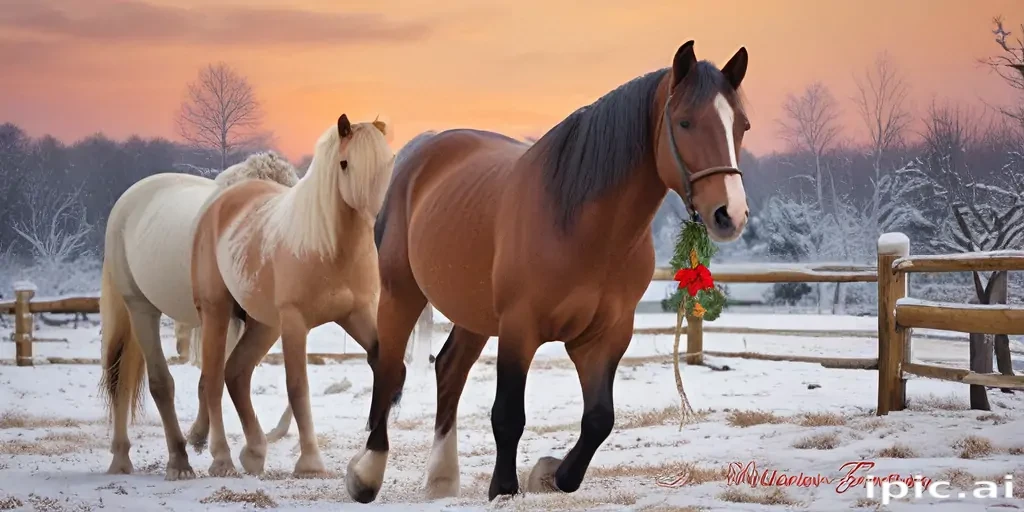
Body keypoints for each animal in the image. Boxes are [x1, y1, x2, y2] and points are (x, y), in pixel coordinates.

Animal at [99, 151, 300, 481]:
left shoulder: (252, 322)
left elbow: (218, 376)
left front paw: (203, 437)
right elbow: (215, 377)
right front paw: (220, 455)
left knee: (127, 378)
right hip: (140, 308)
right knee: (149, 382)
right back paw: (171, 462)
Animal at [189, 114, 395, 478]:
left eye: (386, 164)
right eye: (344, 163)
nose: (374, 217)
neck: (331, 247)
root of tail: (219, 205)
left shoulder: (357, 314)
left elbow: (382, 363)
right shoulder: (296, 322)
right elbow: (298, 387)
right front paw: (311, 463)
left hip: (264, 325)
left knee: (236, 374)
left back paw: (254, 453)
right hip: (217, 311)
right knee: (212, 380)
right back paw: (222, 458)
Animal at [344, 40, 751, 503]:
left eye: (742, 126)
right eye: (684, 122)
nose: (730, 214)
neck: (581, 226)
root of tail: (420, 150)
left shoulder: (606, 336)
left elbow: (599, 419)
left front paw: (550, 474)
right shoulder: (519, 327)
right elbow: (508, 415)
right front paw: (504, 488)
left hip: (474, 312)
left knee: (449, 369)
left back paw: (442, 479)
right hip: (402, 292)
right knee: (389, 367)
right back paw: (367, 474)